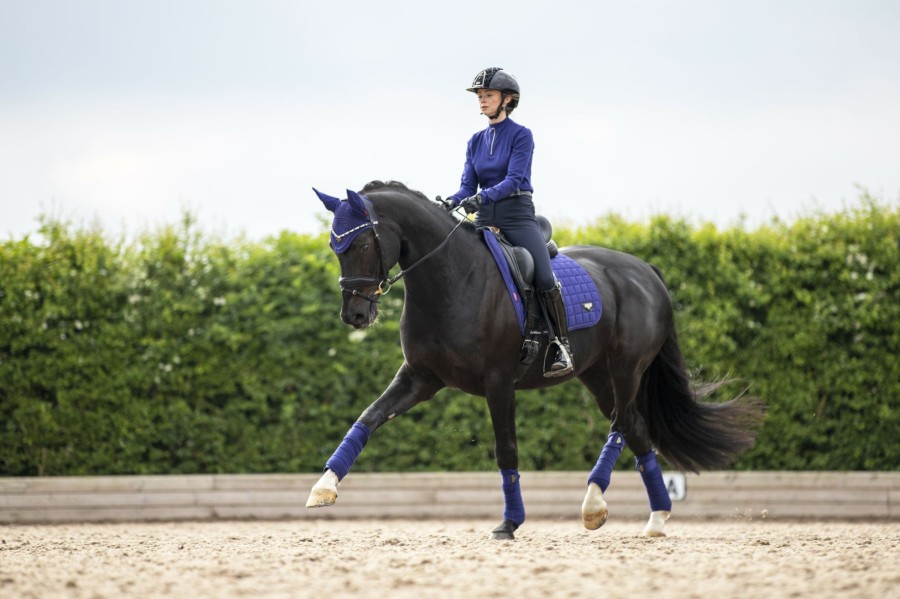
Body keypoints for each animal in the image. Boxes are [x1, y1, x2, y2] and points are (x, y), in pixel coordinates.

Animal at [306, 182, 764, 540]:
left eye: (362, 243)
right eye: (334, 245)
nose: (354, 315)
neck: (451, 278)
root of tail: (645, 270)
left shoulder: (498, 382)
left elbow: (506, 449)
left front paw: (509, 522)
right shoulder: (420, 378)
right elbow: (367, 418)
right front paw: (324, 486)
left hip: (626, 369)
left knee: (621, 424)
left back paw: (593, 503)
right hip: (597, 375)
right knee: (634, 427)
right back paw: (656, 517)